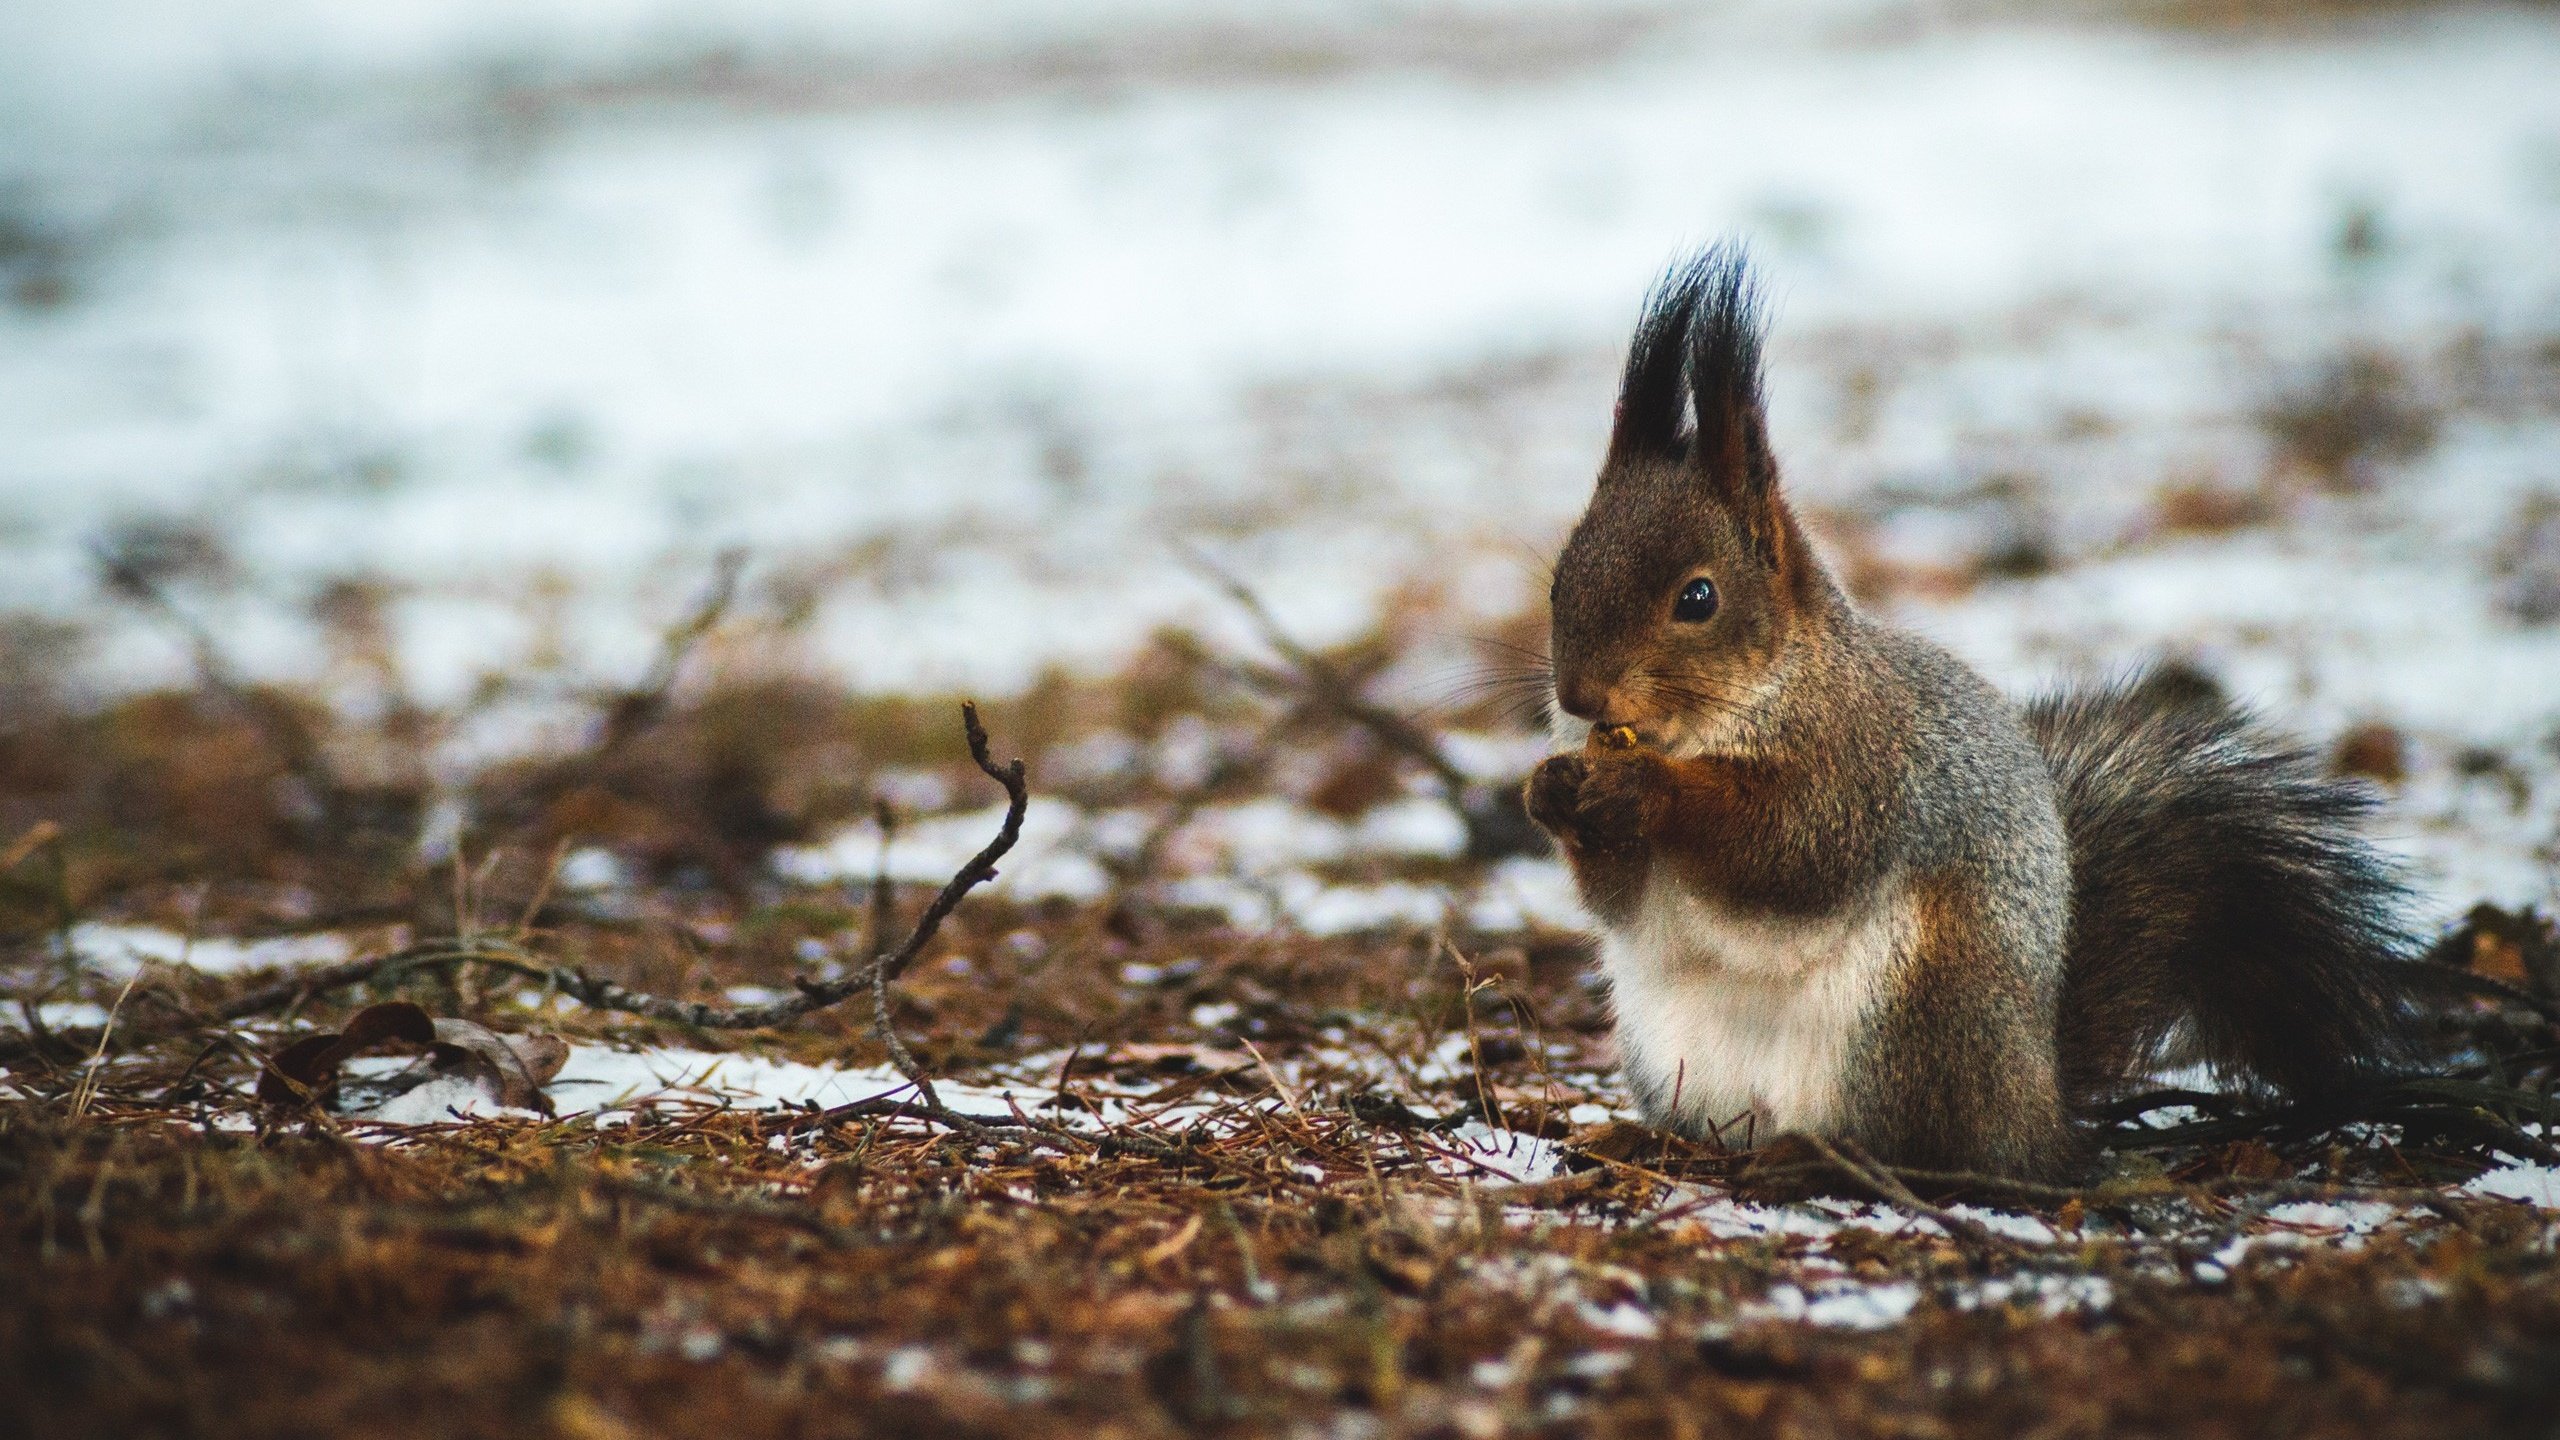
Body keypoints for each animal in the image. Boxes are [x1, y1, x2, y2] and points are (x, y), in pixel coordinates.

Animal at [1515, 245, 2416, 1178]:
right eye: (1559, 580)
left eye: (1698, 598)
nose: (1579, 697)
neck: (1729, 715)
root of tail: (2036, 1105)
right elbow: (1619, 900)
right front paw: (1548, 789)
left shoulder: (1864, 763)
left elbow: (1790, 845)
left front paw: (1647, 789)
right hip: (1675, 1052)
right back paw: (1644, 1137)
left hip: (1918, 1013)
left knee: (1920, 1144)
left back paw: (1815, 1154)